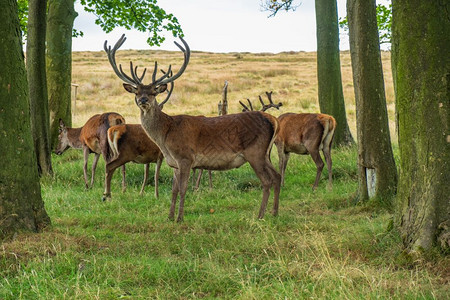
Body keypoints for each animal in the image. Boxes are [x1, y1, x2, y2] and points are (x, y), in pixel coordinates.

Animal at [106, 35, 282, 223]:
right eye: (136, 92)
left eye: (154, 91)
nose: (143, 100)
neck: (165, 136)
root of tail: (273, 120)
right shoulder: (174, 163)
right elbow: (174, 190)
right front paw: (169, 216)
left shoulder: (185, 158)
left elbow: (183, 188)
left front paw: (179, 218)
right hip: (265, 153)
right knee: (277, 176)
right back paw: (274, 212)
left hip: (255, 151)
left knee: (266, 181)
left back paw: (260, 215)